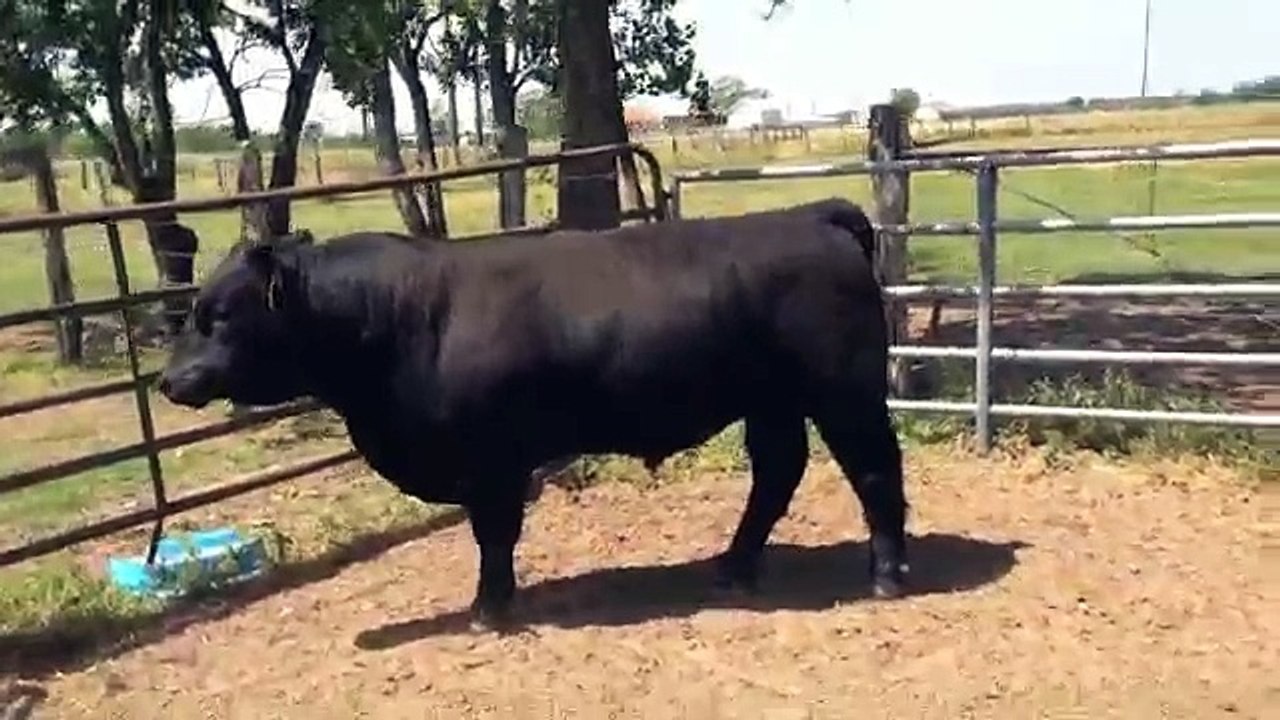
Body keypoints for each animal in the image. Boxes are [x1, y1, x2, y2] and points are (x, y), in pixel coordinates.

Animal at [157, 198, 910, 629]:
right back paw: (733, 567)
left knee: (875, 471)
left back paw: (886, 576)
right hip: (770, 402)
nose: (166, 380)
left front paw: (488, 608)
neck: (399, 316)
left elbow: (494, 534)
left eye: (218, 315)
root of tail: (811, 217)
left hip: (844, 393)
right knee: (777, 473)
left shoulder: (493, 460)